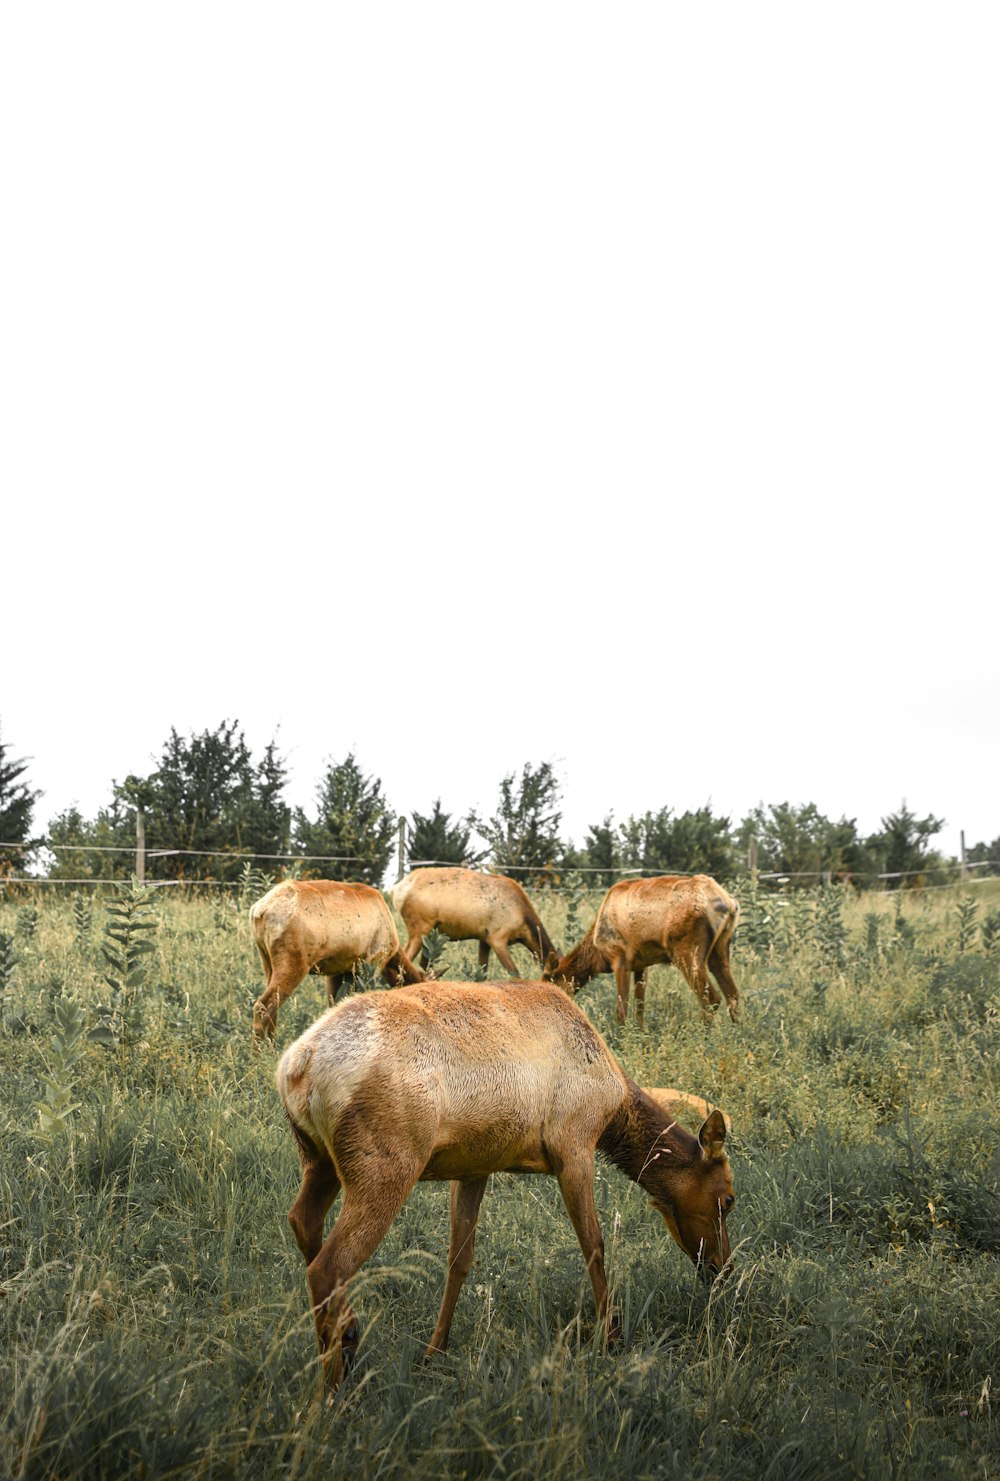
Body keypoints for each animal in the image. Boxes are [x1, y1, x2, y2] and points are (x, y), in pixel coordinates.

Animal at [250, 876, 426, 1042]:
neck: (395, 951)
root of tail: (260, 910)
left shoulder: (338, 969)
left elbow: (333, 1005)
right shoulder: (375, 960)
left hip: (266, 960)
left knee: (272, 1010)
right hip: (295, 960)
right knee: (263, 1006)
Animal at [275, 983, 734, 1386]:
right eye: (728, 1198)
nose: (723, 1268)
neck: (615, 1104)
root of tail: (298, 1066)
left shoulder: (474, 1167)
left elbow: (459, 1260)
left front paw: (435, 1351)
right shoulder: (574, 1144)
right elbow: (595, 1245)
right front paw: (612, 1338)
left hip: (318, 1159)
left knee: (301, 1221)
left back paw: (349, 1334)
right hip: (386, 1163)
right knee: (328, 1266)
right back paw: (336, 1387)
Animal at [391, 864, 562, 977]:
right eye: (557, 977)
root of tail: (398, 890)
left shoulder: (484, 939)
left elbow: (482, 973)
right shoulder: (498, 937)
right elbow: (514, 973)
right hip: (420, 927)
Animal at [545, 870, 740, 1024]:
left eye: (549, 980)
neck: (598, 956)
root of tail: (729, 904)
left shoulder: (620, 959)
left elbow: (621, 1011)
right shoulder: (641, 965)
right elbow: (640, 1008)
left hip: (686, 951)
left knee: (712, 998)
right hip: (720, 949)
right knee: (733, 996)